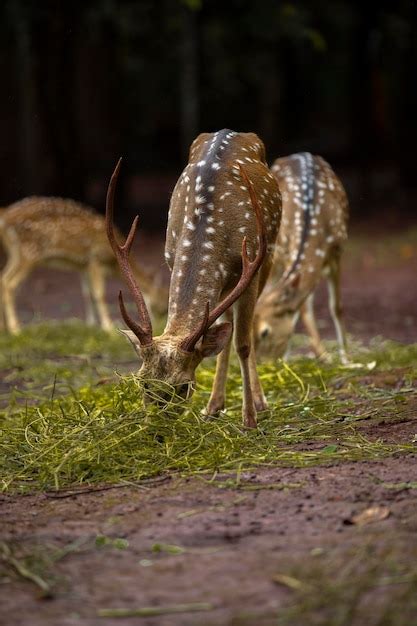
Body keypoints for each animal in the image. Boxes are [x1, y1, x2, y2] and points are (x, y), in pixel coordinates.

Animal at [0, 196, 166, 332]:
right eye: (162, 305)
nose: (159, 324)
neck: (112, 264)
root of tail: (5, 216)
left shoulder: (83, 265)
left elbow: (87, 293)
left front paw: (91, 324)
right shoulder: (94, 258)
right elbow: (99, 294)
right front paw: (108, 327)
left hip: (16, 252)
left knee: (3, 278)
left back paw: (4, 328)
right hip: (29, 252)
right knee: (9, 283)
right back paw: (15, 329)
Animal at [105, 129, 282, 426]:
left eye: (184, 386)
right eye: (142, 382)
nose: (157, 429)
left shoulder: (252, 265)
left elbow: (243, 344)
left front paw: (249, 419)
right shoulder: (171, 257)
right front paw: (220, 408)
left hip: (267, 257)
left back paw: (260, 403)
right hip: (227, 285)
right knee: (224, 329)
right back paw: (213, 406)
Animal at [254, 152, 348, 364]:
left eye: (265, 332)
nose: (263, 366)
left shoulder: (338, 251)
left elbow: (336, 307)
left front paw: (346, 358)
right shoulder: (286, 250)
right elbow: (303, 308)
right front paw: (323, 356)